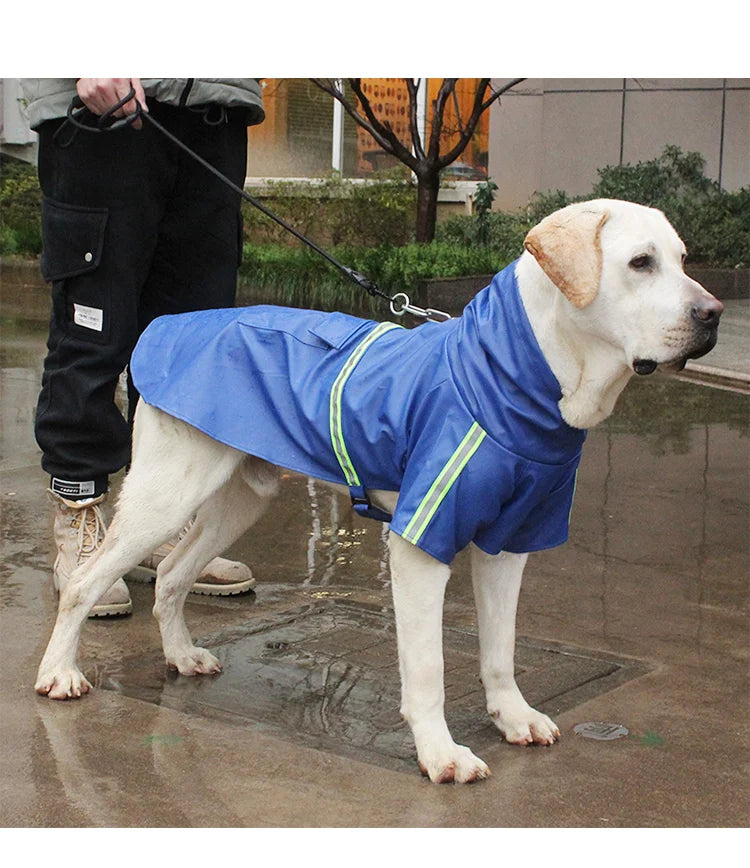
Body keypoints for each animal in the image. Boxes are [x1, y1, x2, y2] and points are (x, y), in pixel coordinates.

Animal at [33, 200, 724, 784]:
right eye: (641, 263)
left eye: (684, 259)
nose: (714, 315)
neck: (514, 376)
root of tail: (168, 327)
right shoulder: (421, 544)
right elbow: (428, 668)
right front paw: (440, 754)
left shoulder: (509, 542)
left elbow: (501, 650)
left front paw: (513, 716)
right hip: (165, 495)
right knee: (86, 582)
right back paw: (59, 671)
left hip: (239, 497)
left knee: (175, 572)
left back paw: (179, 655)